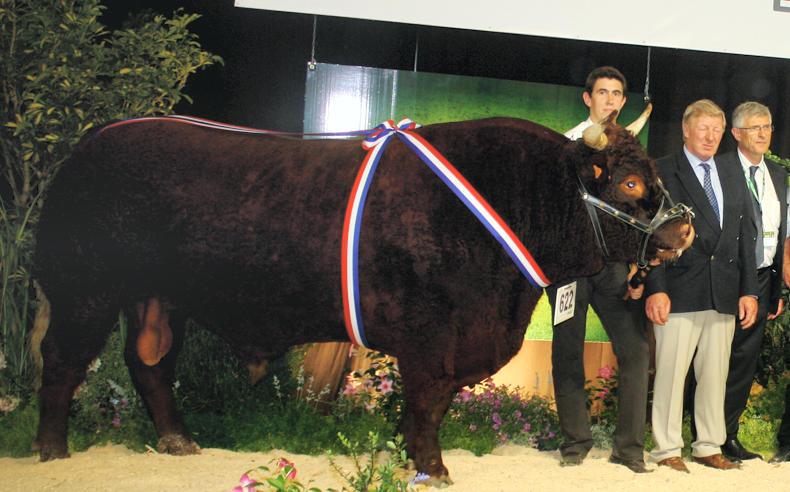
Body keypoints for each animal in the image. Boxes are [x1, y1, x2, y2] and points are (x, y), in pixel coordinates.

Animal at [30, 113, 693, 486]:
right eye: (630, 181)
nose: (685, 228)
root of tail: (90, 146)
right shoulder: (431, 336)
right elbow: (428, 402)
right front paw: (432, 468)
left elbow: (425, 406)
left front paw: (407, 455)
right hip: (84, 291)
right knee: (62, 363)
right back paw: (52, 452)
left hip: (160, 300)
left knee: (150, 364)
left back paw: (177, 441)